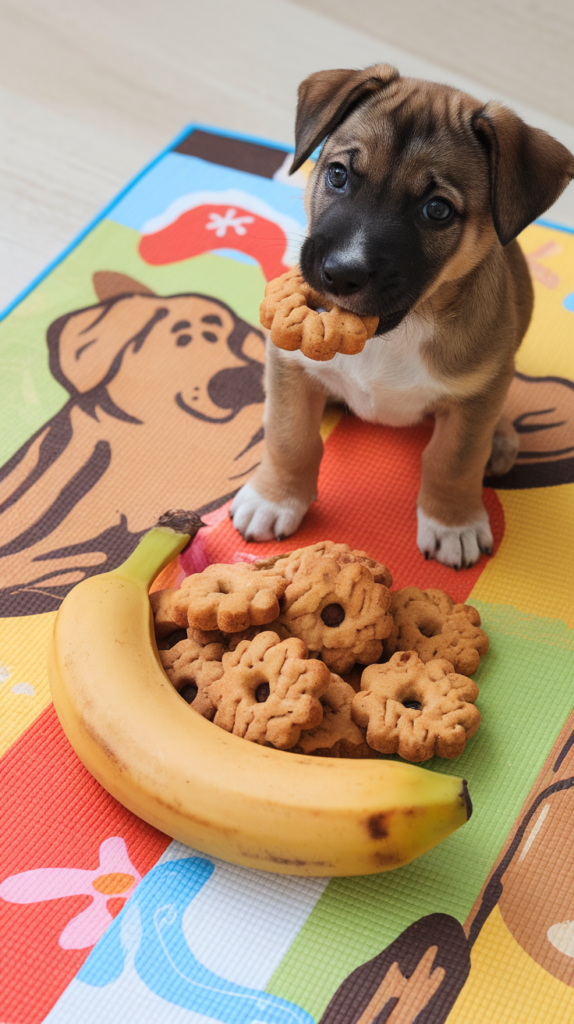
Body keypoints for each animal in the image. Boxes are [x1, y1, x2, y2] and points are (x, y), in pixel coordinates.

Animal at [228, 66, 572, 569]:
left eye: (437, 209)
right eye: (338, 174)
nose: (340, 274)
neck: (393, 335)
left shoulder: (477, 395)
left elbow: (453, 460)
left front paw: (453, 523)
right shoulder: (290, 360)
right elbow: (291, 438)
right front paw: (275, 499)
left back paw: (500, 440)